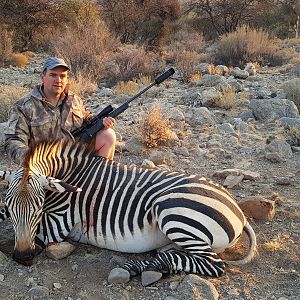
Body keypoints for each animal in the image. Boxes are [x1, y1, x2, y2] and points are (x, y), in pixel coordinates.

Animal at [0, 141, 258, 286]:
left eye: (39, 206)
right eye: (11, 206)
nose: (23, 256)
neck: (67, 176)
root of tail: (237, 210)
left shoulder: (59, 221)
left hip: (172, 212)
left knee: (214, 265)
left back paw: (134, 267)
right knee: (180, 255)